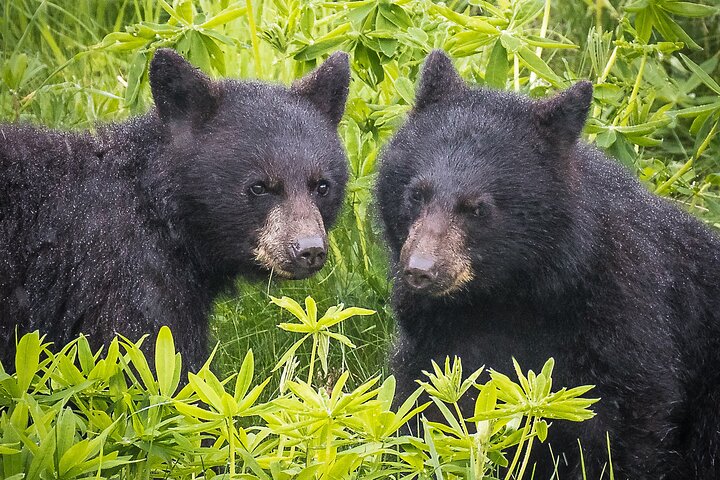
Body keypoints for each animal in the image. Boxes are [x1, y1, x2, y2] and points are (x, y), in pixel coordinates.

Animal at [0, 48, 350, 373]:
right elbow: (155, 366)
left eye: (321, 186)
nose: (309, 250)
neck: (161, 215)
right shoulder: (126, 283)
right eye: (259, 187)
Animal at [376, 50, 720, 479]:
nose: (420, 270)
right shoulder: (437, 331)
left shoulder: (626, 314)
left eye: (477, 208)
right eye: (416, 194)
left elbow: (628, 425)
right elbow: (425, 397)